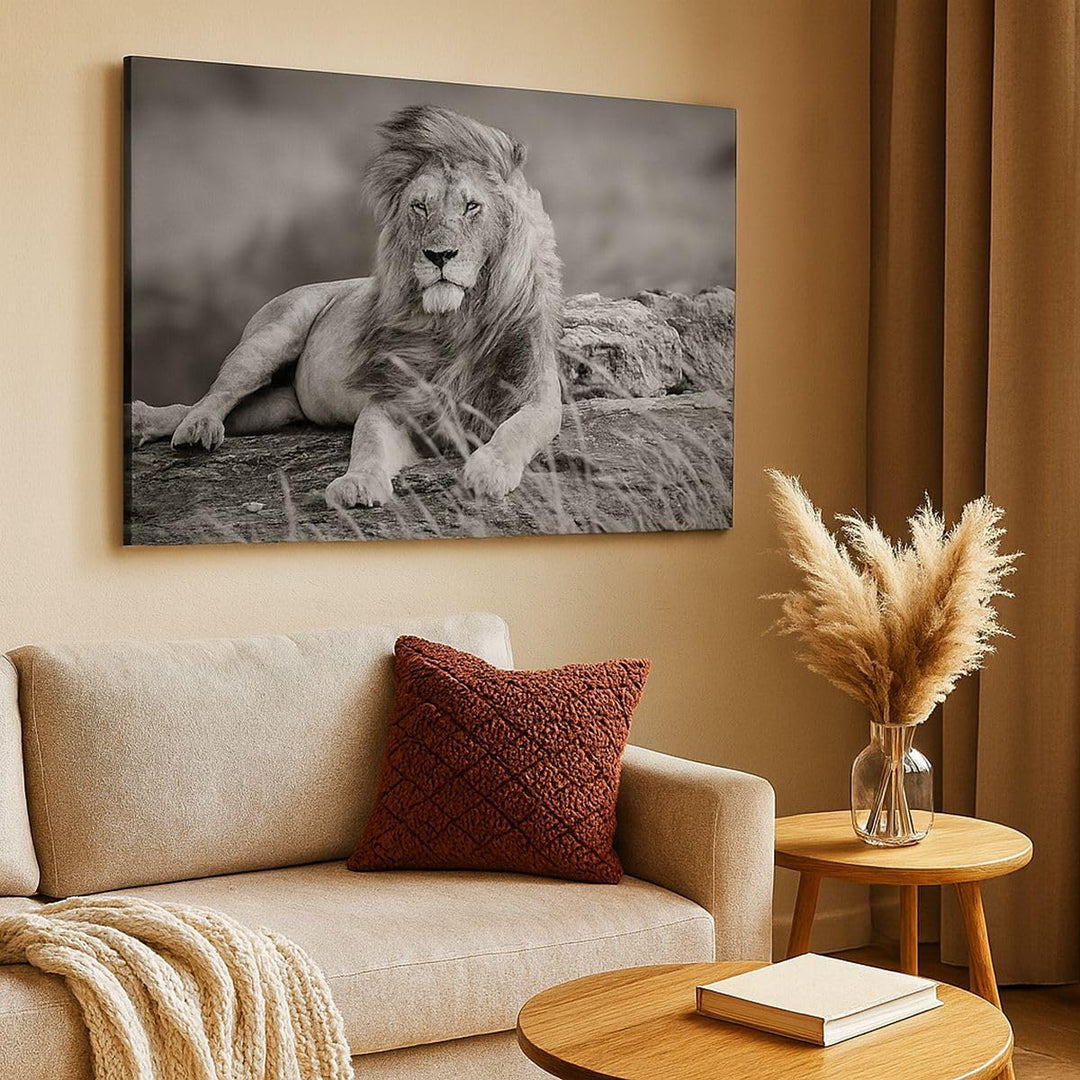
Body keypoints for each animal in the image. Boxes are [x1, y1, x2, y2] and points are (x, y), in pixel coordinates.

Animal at [130, 105, 563, 507]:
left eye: (472, 206)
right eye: (419, 207)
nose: (439, 255)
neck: (455, 322)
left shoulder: (538, 397)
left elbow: (517, 429)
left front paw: (489, 470)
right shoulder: (390, 399)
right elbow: (368, 442)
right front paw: (357, 484)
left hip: (278, 408)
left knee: (224, 409)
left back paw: (147, 422)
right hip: (270, 338)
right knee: (213, 396)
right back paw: (188, 427)